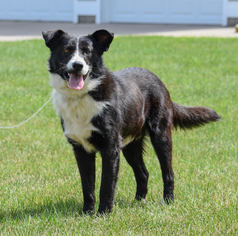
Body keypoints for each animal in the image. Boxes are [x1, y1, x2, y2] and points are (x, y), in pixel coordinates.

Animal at [41, 29, 220, 214]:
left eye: (87, 51)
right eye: (67, 50)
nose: (78, 65)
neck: (83, 95)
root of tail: (160, 81)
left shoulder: (110, 148)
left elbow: (106, 184)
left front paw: (103, 213)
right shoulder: (81, 149)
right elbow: (87, 185)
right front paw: (87, 212)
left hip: (161, 136)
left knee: (168, 172)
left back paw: (168, 201)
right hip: (130, 145)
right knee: (143, 173)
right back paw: (138, 201)